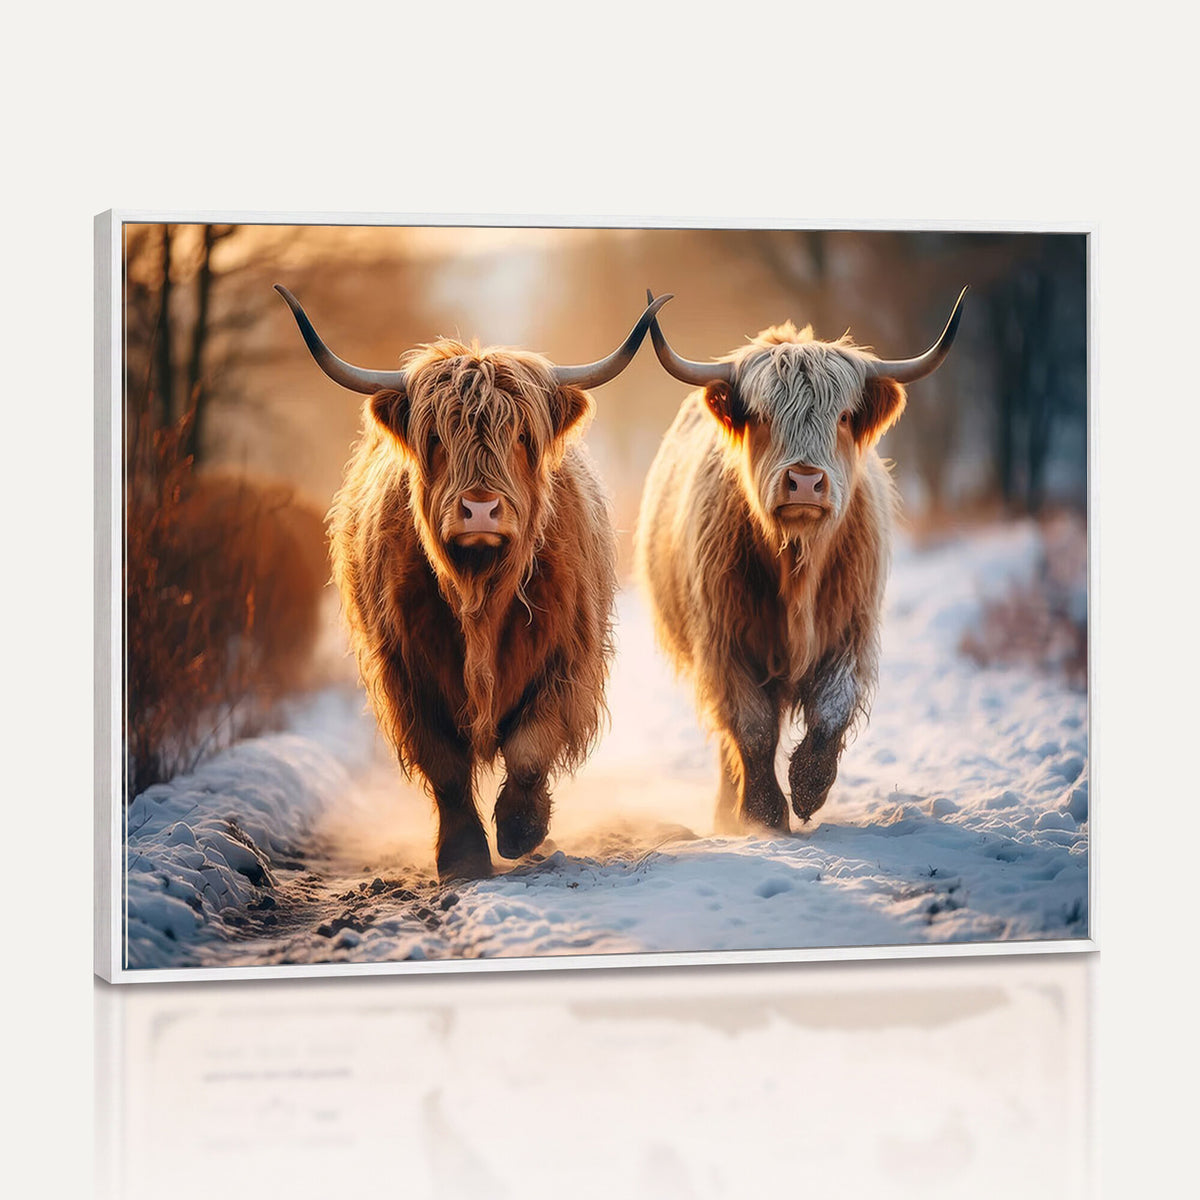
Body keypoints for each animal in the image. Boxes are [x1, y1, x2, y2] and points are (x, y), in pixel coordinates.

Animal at [276, 286, 671, 880]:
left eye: (522, 435)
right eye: (438, 436)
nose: (480, 510)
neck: (480, 591)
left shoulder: (564, 658)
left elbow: (530, 748)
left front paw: (520, 829)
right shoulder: (406, 671)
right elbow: (443, 764)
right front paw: (462, 856)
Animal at [635, 288, 966, 834]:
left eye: (845, 416)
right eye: (762, 416)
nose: (806, 482)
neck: (798, 562)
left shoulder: (851, 628)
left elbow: (833, 709)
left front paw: (809, 788)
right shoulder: (724, 641)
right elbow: (751, 728)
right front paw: (764, 813)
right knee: (729, 740)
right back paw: (727, 813)